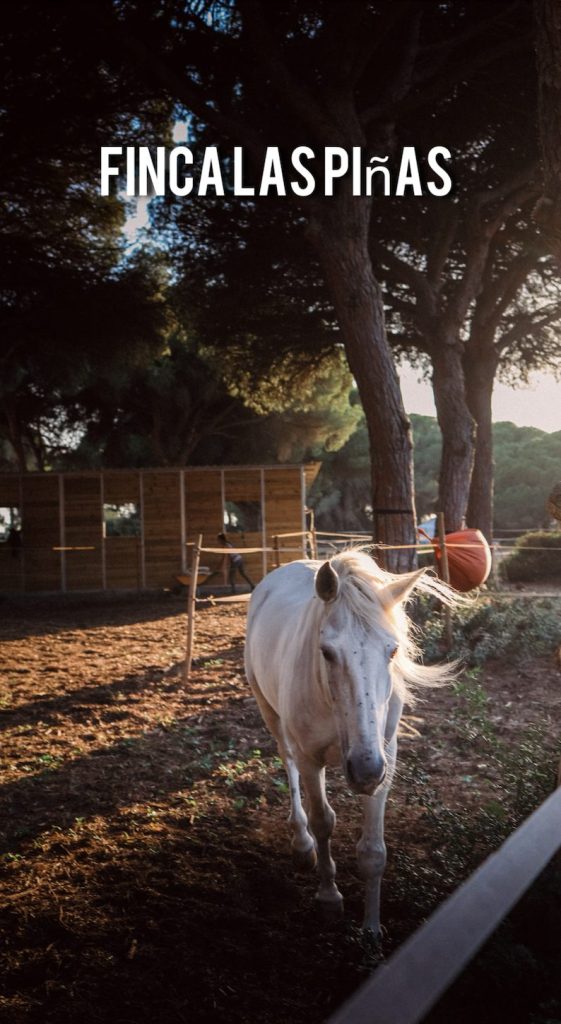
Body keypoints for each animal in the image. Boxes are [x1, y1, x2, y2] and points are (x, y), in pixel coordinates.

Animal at [243, 552, 458, 937]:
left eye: (393, 650)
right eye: (327, 652)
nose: (364, 769)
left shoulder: (384, 757)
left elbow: (372, 850)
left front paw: (371, 929)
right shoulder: (312, 759)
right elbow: (323, 822)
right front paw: (329, 898)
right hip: (271, 715)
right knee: (289, 764)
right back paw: (302, 846)